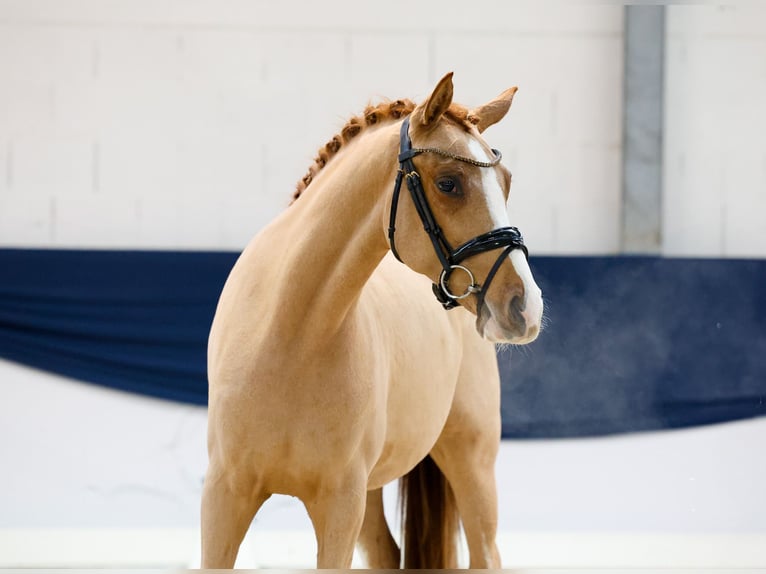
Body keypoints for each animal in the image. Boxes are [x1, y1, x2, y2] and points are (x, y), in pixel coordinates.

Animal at [201, 73, 544, 572]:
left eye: (506, 182)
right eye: (449, 183)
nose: (525, 306)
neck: (288, 335)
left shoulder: (340, 506)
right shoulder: (224, 498)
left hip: (471, 463)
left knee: (486, 552)